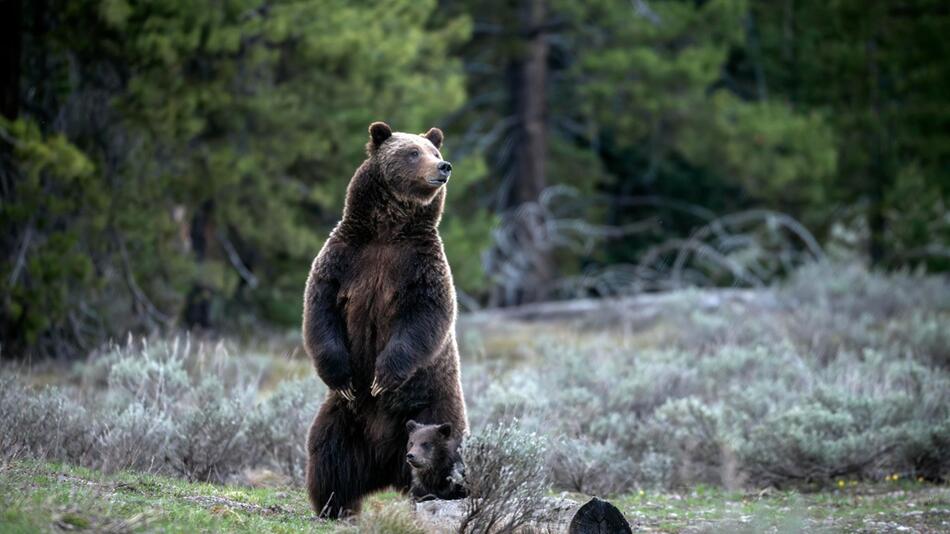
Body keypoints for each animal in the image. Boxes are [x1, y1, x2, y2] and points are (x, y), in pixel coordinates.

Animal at [304, 122, 468, 520]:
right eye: (413, 152)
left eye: (435, 152)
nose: (444, 167)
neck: (388, 230)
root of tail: (386, 466)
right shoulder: (345, 258)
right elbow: (320, 310)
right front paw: (344, 377)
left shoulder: (420, 267)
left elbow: (425, 317)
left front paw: (383, 377)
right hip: (344, 419)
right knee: (328, 454)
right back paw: (334, 505)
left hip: (433, 408)